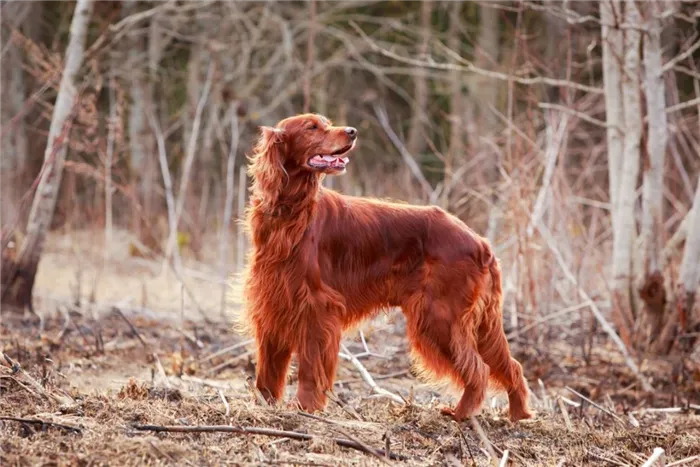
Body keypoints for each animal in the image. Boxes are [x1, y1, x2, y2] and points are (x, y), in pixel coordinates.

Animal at [238, 114, 532, 424]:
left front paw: (305, 408)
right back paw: (519, 414)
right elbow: (267, 370)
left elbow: (310, 367)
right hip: (476, 323)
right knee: (511, 365)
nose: (352, 131)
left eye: (324, 123)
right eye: (312, 127)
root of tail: (480, 242)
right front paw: (263, 404)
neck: (291, 213)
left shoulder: (316, 308)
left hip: (440, 317)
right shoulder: (272, 302)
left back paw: (460, 413)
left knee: (479, 369)